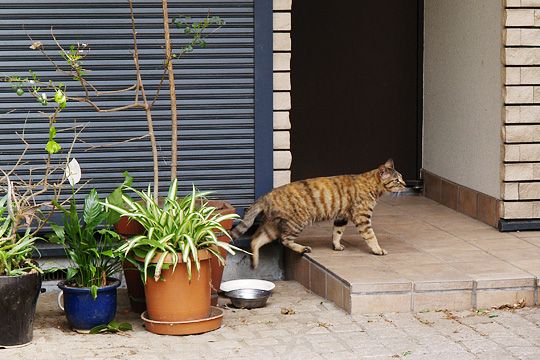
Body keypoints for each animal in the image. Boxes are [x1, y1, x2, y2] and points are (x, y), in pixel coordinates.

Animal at [230, 160, 408, 268]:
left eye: (402, 178)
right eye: (397, 180)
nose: (406, 185)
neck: (371, 185)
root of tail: (266, 195)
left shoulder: (341, 218)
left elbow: (337, 233)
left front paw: (336, 246)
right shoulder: (362, 217)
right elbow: (371, 236)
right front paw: (378, 250)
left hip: (273, 226)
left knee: (256, 240)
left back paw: (255, 261)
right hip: (297, 222)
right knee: (284, 240)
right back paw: (302, 248)